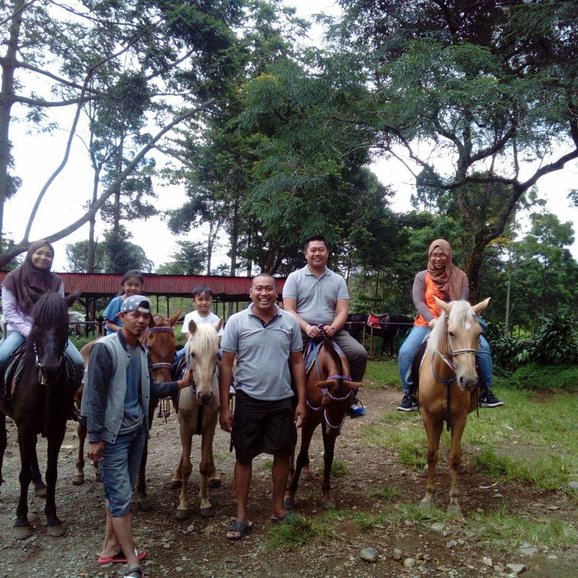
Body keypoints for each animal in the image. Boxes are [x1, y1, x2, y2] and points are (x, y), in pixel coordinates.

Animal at [0, 292, 77, 540]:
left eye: (66, 326)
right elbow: (22, 474)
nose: (50, 370)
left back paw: (40, 484)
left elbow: (52, 472)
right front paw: (21, 520)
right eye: (37, 326)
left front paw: (52, 517)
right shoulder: (24, 428)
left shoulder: (57, 429)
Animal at [284, 332, 360, 508]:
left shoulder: (327, 422)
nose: (334, 432)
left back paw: (306, 472)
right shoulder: (309, 422)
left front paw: (326, 495)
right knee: (292, 443)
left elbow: (329, 455)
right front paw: (290, 496)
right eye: (325, 403)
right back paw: (290, 477)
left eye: (348, 403)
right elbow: (301, 456)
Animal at [416, 294, 488, 516]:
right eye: (451, 333)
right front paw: (428, 498)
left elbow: (455, 457)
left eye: (479, 333)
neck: (447, 378)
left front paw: (454, 503)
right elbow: (431, 454)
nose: (469, 380)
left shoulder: (459, 418)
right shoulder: (428, 416)